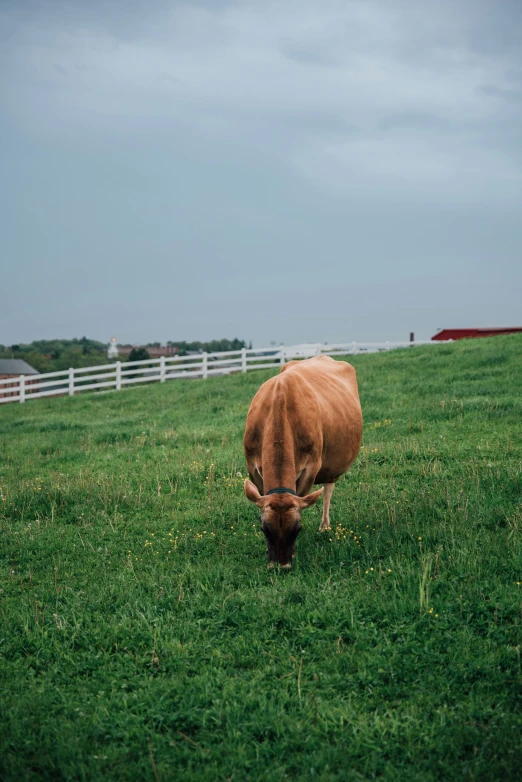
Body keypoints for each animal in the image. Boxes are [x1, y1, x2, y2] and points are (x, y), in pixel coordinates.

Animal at [241, 356, 360, 568]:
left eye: (297, 529)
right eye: (265, 529)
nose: (281, 566)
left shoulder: (311, 467)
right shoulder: (252, 467)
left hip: (331, 466)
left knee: (328, 490)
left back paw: (324, 526)